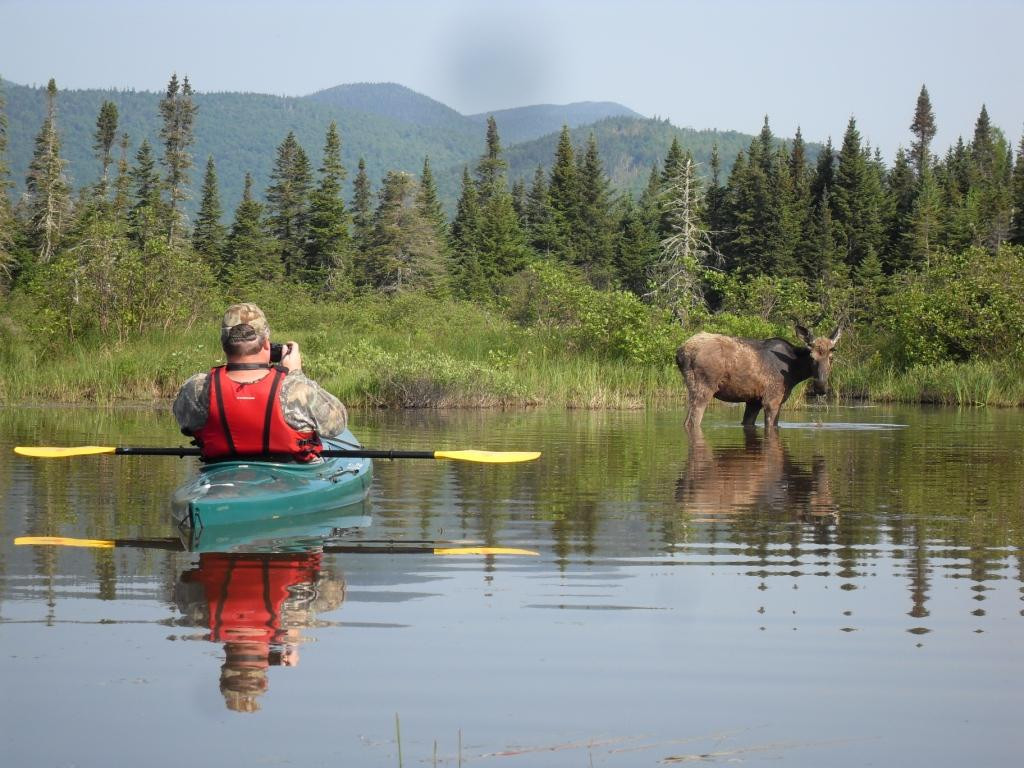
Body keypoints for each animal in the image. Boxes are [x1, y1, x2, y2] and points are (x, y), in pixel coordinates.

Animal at [671, 325, 839, 434]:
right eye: (811, 357)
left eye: (831, 358)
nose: (821, 386)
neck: (795, 372)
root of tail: (681, 353)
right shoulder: (772, 399)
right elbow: (771, 426)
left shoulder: (754, 401)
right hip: (703, 387)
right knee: (692, 422)